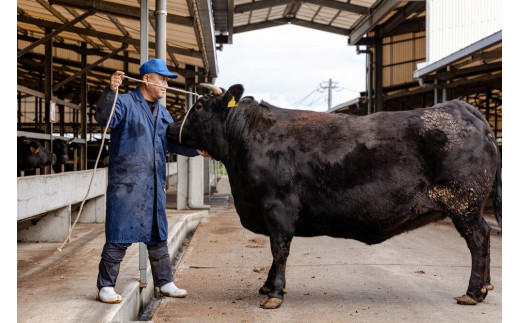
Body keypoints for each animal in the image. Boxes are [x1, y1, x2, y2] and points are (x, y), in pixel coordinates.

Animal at [167, 85, 500, 310]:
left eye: (199, 106)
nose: (170, 127)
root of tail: (462, 107)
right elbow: (275, 253)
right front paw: (267, 286)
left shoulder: (278, 207)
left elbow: (279, 250)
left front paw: (274, 294)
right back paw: (484, 288)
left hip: (464, 203)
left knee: (478, 239)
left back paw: (473, 292)